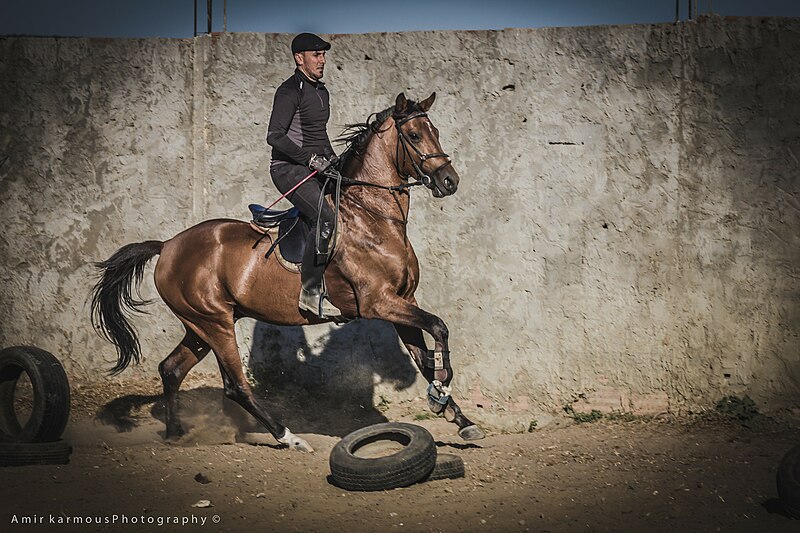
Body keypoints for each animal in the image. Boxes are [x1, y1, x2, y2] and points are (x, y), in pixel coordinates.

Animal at [90, 91, 484, 448]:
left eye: (435, 130)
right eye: (414, 135)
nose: (450, 181)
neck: (373, 217)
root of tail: (168, 245)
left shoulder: (403, 301)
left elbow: (425, 356)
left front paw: (457, 414)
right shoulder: (379, 303)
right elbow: (440, 326)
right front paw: (444, 384)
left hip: (201, 325)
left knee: (171, 369)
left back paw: (175, 433)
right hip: (214, 323)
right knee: (235, 386)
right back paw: (288, 436)